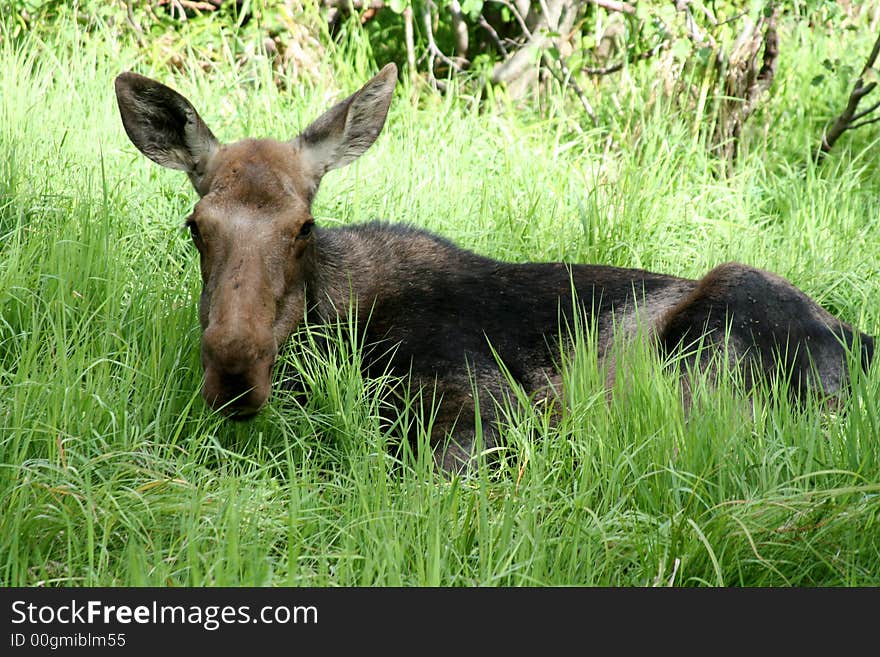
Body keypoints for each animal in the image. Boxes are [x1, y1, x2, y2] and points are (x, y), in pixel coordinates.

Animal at [115, 64, 872, 468]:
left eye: (304, 226)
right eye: (196, 226)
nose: (233, 367)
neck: (332, 324)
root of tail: (859, 347)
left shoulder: (483, 402)